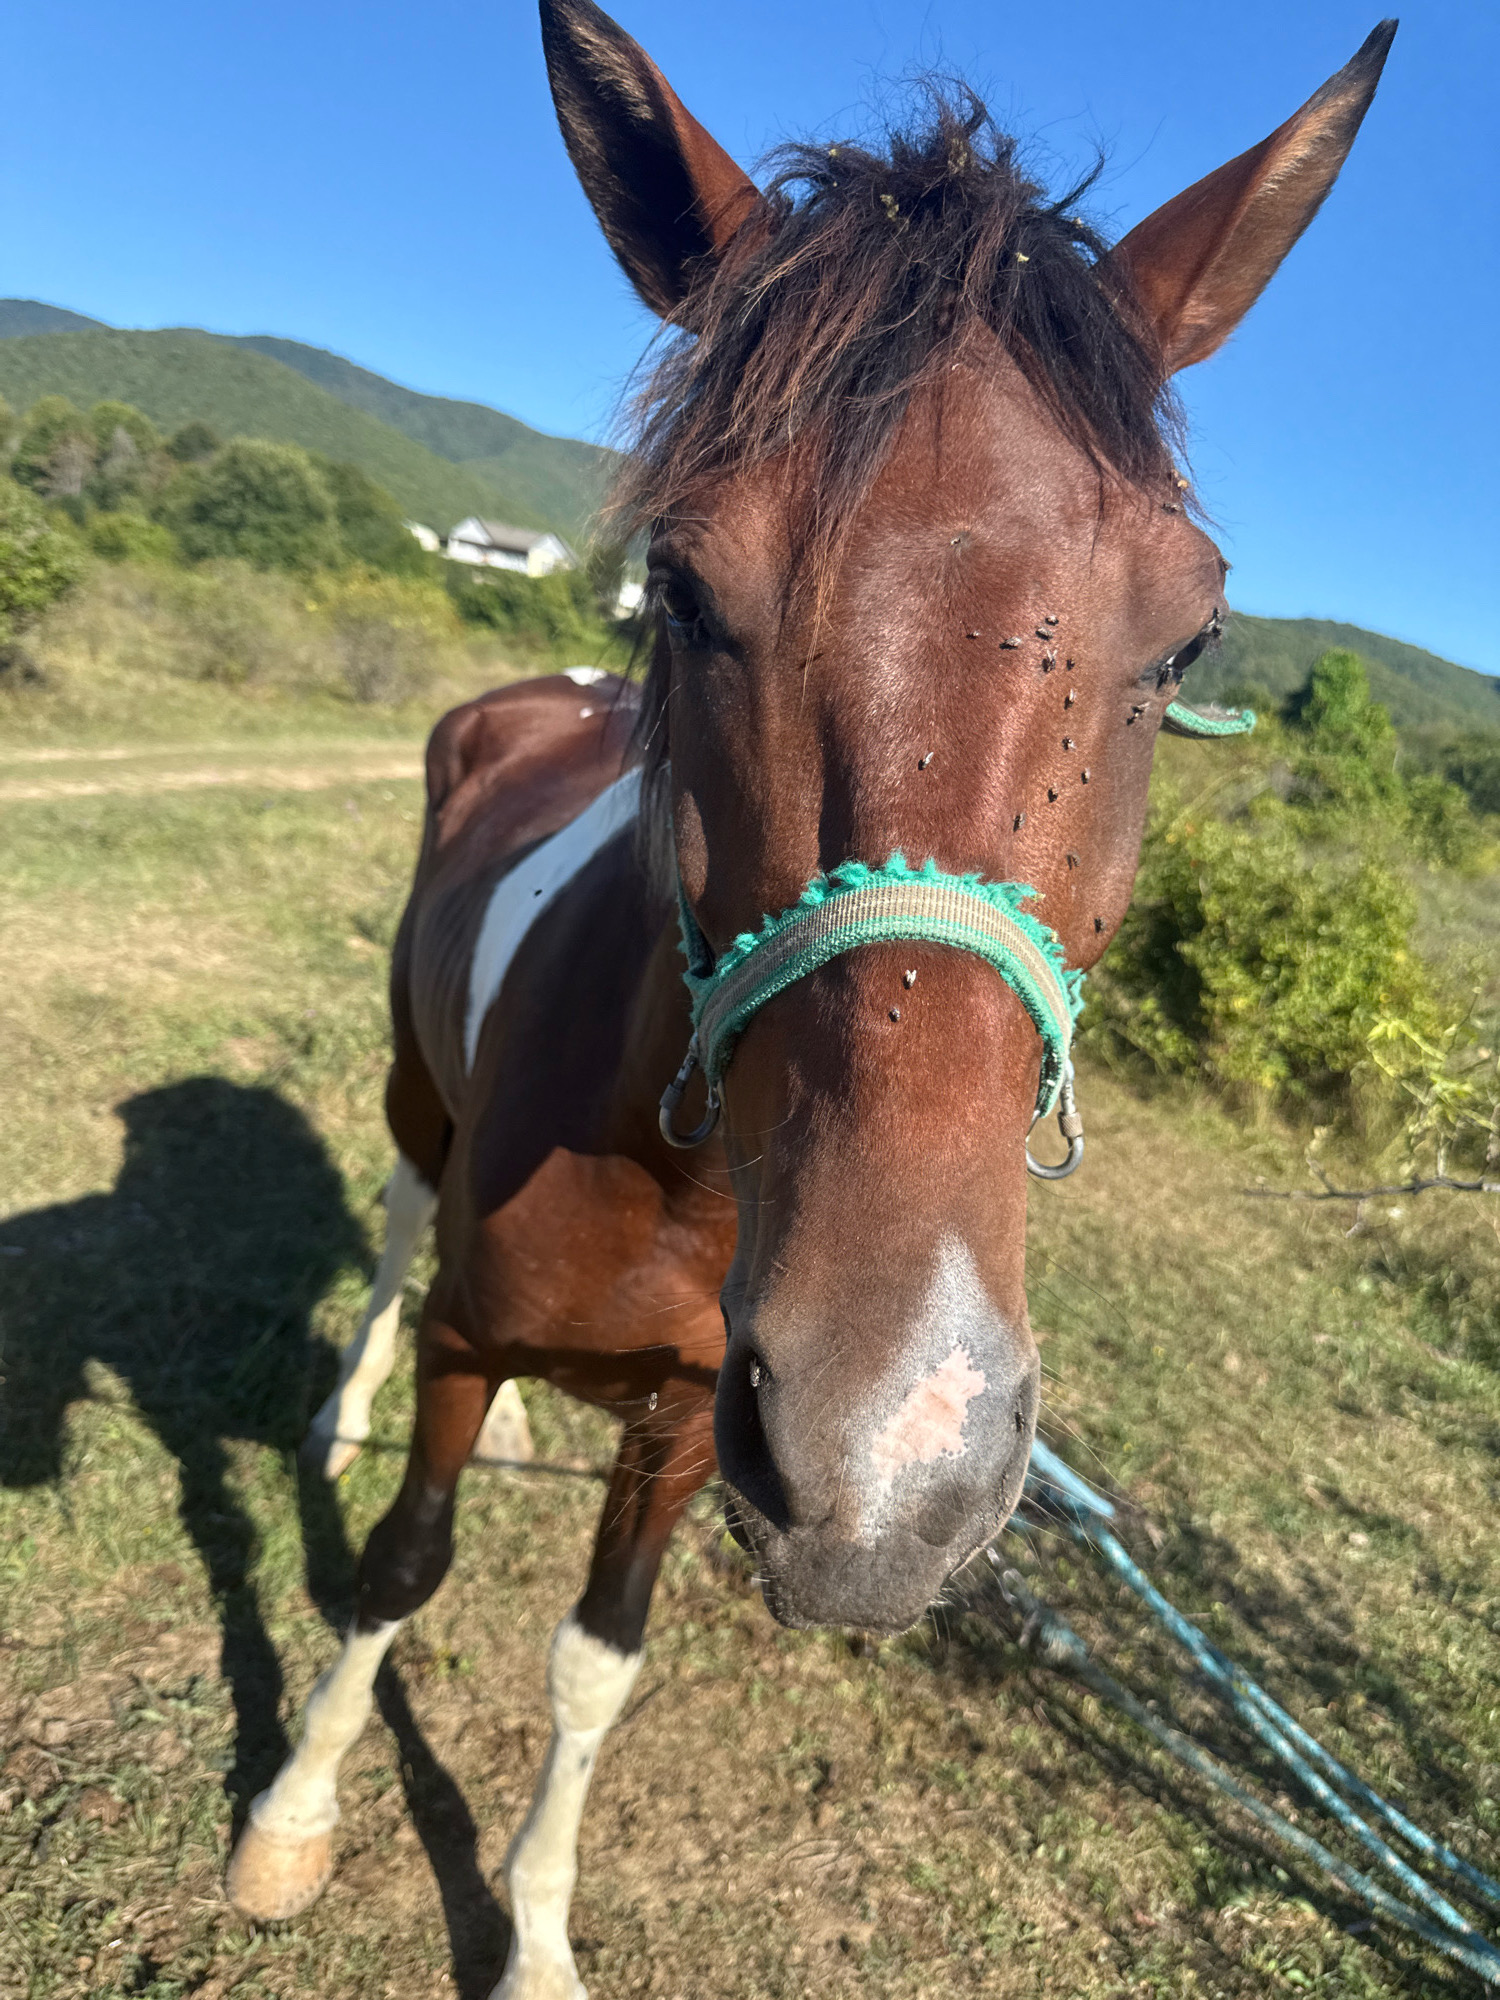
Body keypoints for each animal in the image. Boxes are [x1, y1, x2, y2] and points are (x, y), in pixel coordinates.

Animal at [226, 7, 1395, 1994]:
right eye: (681, 586)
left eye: (1192, 643)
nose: (889, 1455)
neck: (675, 1166)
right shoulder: (484, 1337)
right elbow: (397, 1568)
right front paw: (291, 1819)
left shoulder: (700, 1419)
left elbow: (595, 1664)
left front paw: (536, 1937)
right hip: (407, 1099)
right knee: (394, 1235)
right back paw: (345, 1402)